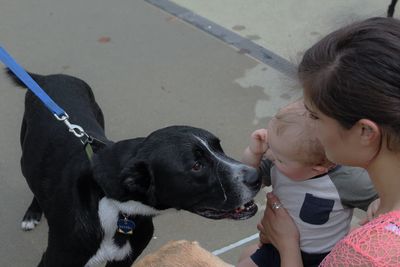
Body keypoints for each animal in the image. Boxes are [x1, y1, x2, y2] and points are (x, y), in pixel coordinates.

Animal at [8, 71, 262, 267]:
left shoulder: (125, 260)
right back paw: (33, 212)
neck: (118, 210)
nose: (257, 176)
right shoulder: (57, 259)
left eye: (219, 147)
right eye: (197, 165)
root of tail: (49, 77)